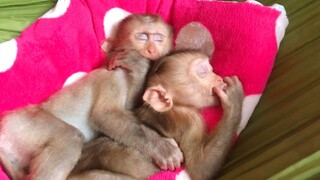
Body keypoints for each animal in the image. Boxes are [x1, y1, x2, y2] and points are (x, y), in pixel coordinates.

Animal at [0, 13, 182, 179]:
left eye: (158, 38)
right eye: (142, 37)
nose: (151, 49)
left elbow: (130, 108)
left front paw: (140, 69)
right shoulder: (113, 77)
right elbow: (105, 116)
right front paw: (162, 148)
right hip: (23, 124)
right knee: (70, 138)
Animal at [70, 50, 244, 180]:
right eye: (203, 72)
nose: (219, 78)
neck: (174, 108)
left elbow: (128, 109)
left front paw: (137, 65)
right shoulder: (190, 120)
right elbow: (200, 168)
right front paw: (234, 98)